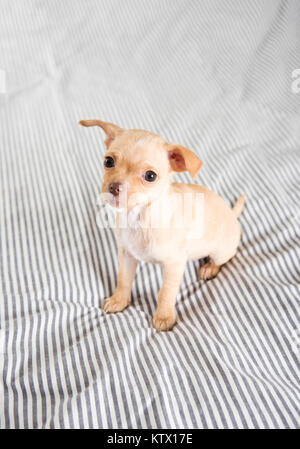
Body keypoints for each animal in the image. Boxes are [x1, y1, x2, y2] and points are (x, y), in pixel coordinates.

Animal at [78, 118, 245, 328]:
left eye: (150, 176)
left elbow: (166, 292)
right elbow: (123, 280)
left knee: (222, 260)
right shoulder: (126, 255)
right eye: (108, 161)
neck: (140, 217)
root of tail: (232, 215)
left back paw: (210, 268)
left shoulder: (174, 265)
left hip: (221, 251)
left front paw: (164, 316)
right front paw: (119, 300)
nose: (115, 187)